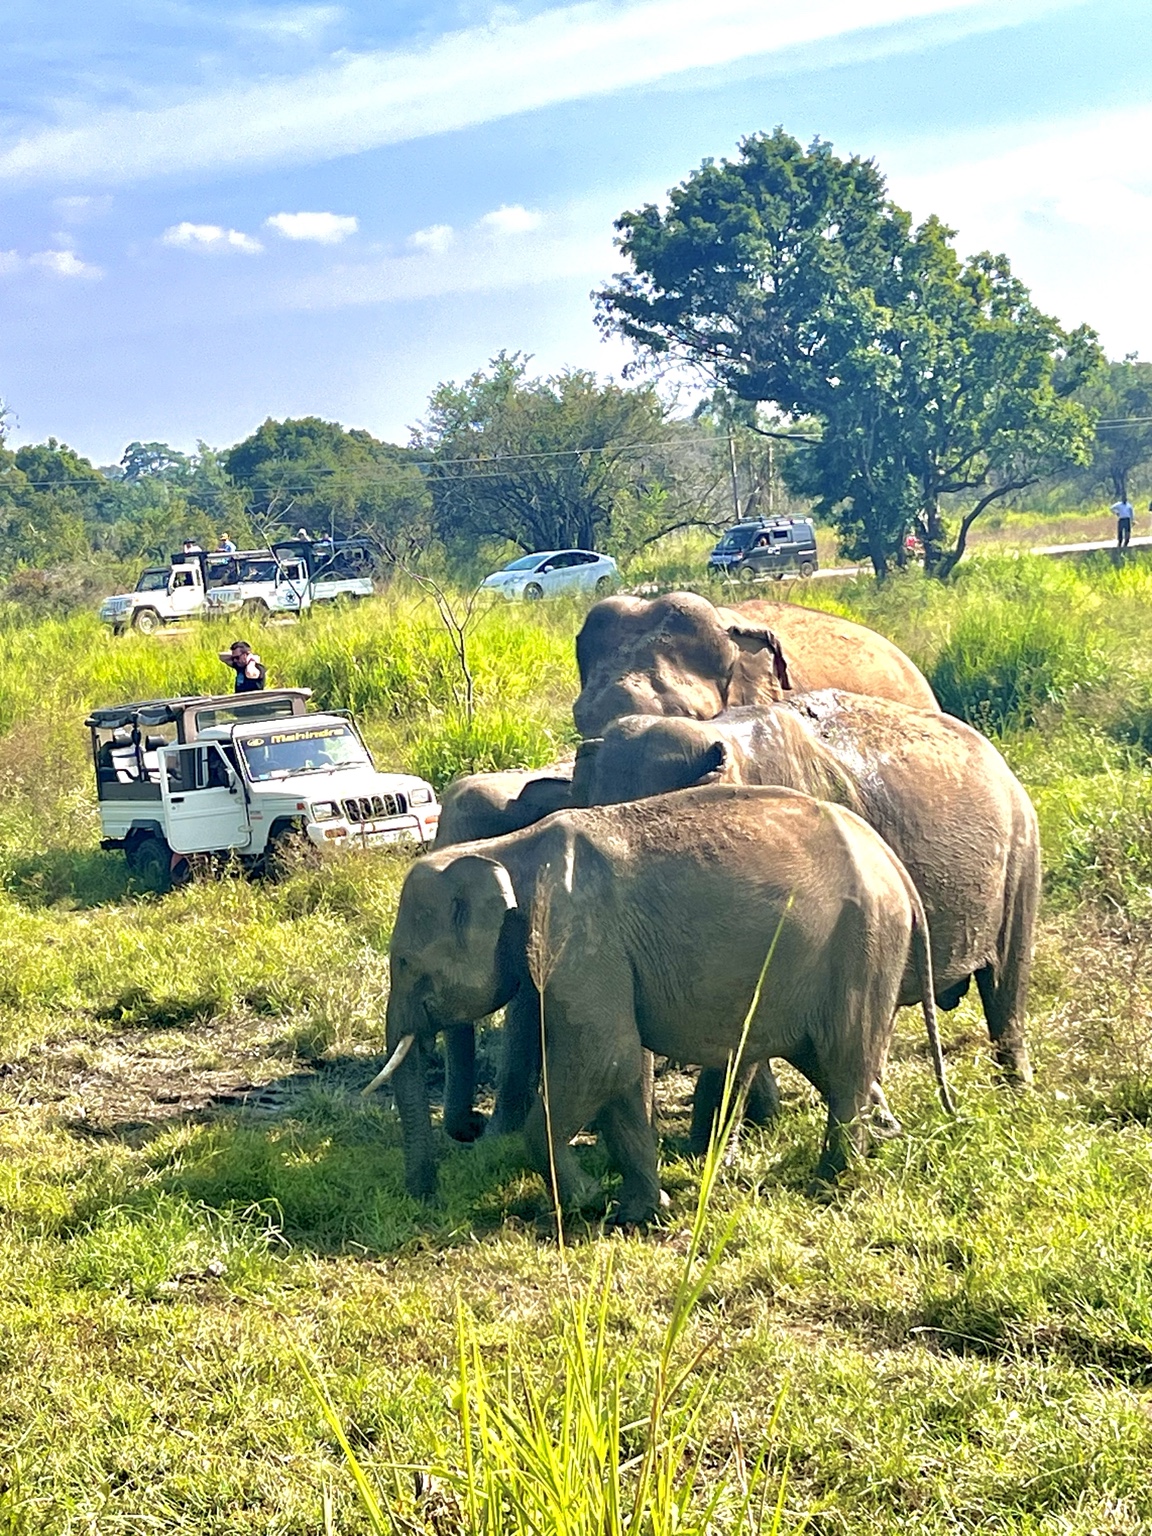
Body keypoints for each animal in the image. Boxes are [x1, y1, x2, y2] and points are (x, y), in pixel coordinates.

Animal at [367, 783, 954, 1221]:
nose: (424, 1198)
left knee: (844, 1058)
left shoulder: (585, 935)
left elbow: (604, 1059)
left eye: (405, 963)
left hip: (864, 946)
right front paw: (640, 1213)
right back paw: (884, 1140)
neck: (509, 848)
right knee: (828, 1061)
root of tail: (893, 864)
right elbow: (625, 1072)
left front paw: (586, 1202)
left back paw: (833, 1179)